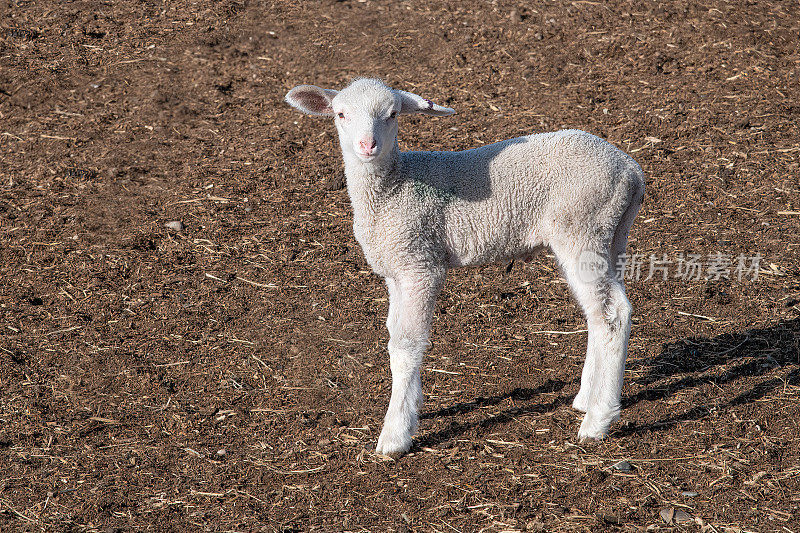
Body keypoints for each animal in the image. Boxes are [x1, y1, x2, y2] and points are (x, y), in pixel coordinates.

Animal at [286, 79, 644, 458]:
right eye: (341, 114)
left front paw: (395, 434)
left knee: (612, 314)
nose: (367, 145)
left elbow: (406, 346)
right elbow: (393, 336)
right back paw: (586, 398)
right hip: (610, 234)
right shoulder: (396, 269)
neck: (393, 187)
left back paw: (598, 420)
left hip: (583, 226)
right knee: (603, 311)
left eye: (393, 113)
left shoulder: (420, 263)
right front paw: (413, 407)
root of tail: (631, 170)